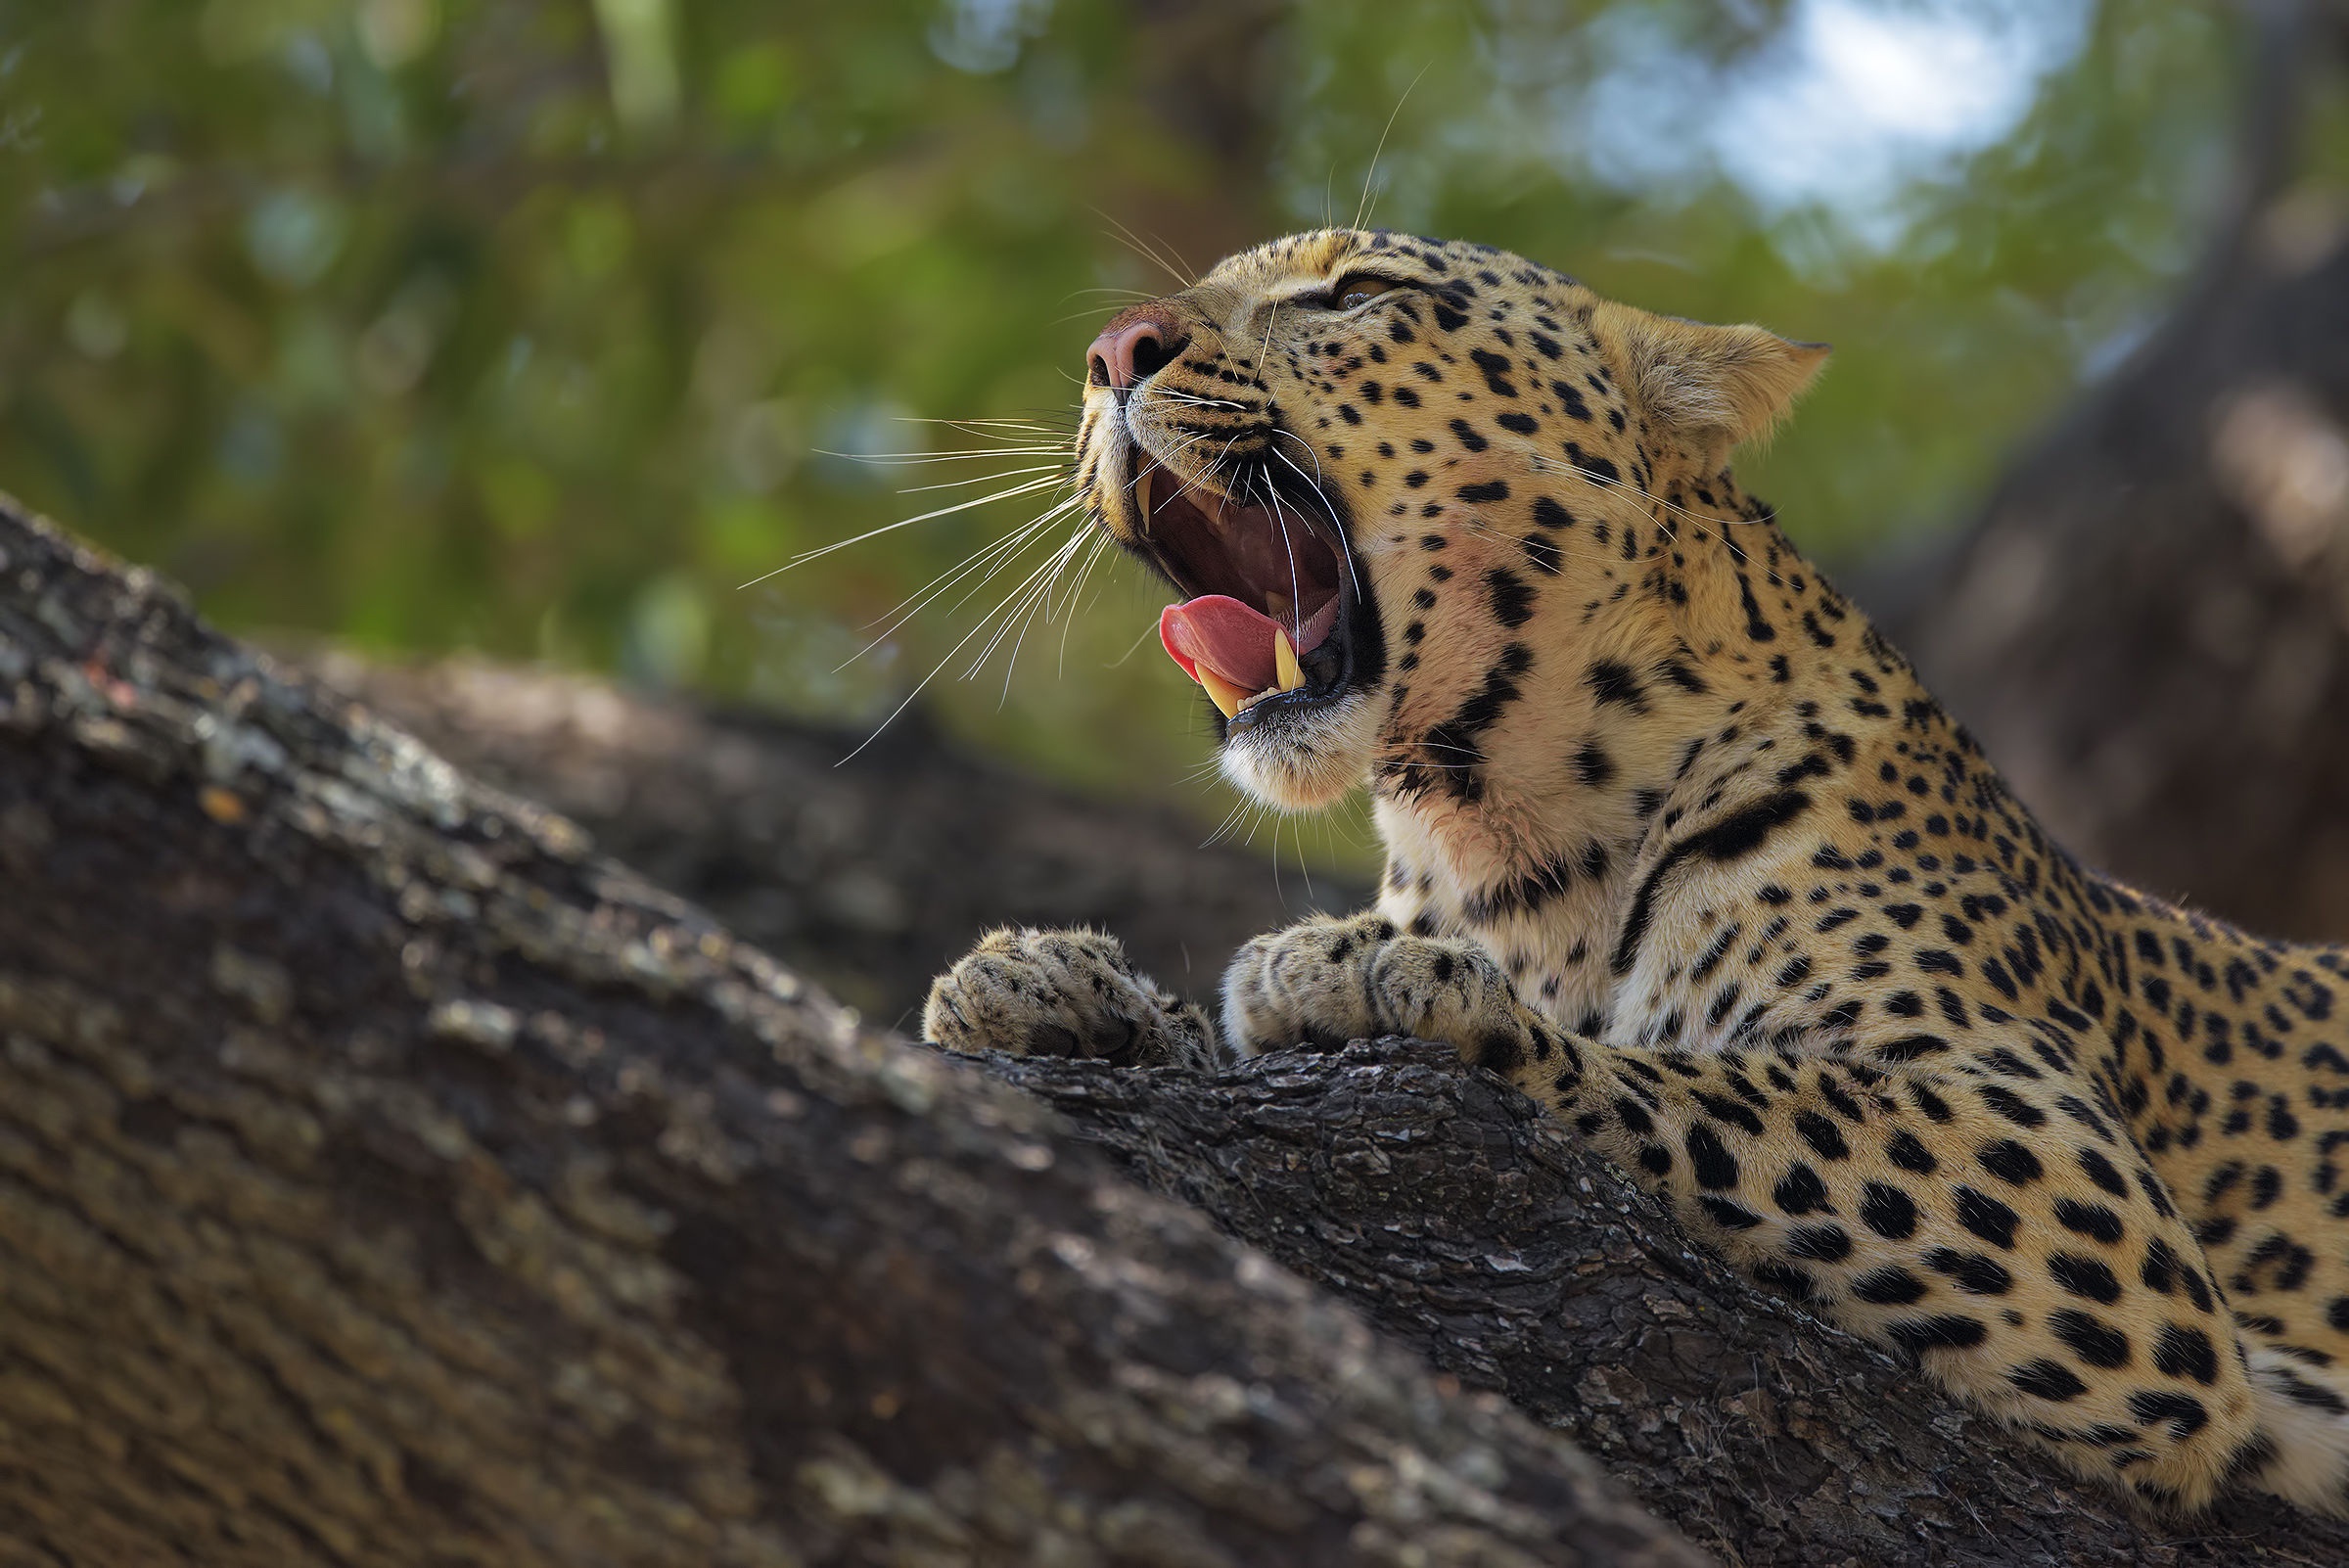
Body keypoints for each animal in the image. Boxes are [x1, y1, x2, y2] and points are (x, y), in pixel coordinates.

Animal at [911, 226, 2349, 1511]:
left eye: (1353, 292)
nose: (1113, 350)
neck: (1493, 838)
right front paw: (1057, 987)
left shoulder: (2056, 1161)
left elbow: (1715, 1082)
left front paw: (1368, 973)